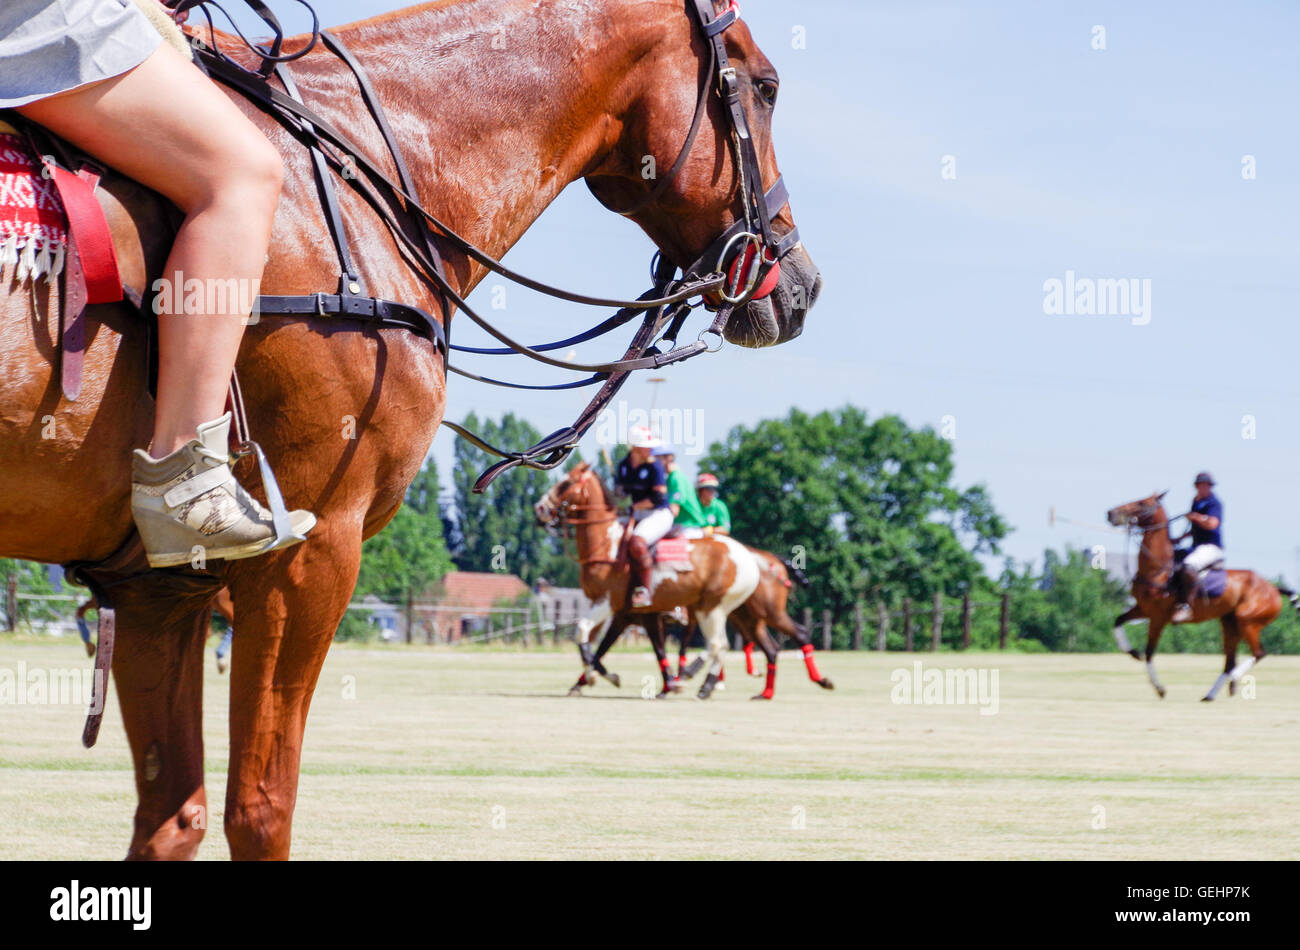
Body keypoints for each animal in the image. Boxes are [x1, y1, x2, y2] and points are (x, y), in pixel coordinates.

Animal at [530, 465, 759, 701]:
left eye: (566, 483)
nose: (539, 509)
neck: (607, 547)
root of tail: (749, 558)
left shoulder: (610, 602)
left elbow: (584, 632)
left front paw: (596, 677)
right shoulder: (621, 614)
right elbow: (600, 646)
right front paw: (596, 678)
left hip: (711, 608)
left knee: (716, 644)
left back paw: (689, 677)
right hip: (714, 610)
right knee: (721, 645)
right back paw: (705, 686)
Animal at [1102, 493, 1294, 701]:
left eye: (1142, 503)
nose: (1110, 513)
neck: (1158, 569)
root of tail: (1274, 588)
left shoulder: (1158, 617)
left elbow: (1150, 652)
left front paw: (1159, 688)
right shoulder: (1143, 609)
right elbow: (1118, 620)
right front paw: (1132, 652)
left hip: (1247, 621)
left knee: (1258, 653)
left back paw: (1232, 680)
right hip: (1230, 623)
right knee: (1230, 660)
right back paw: (1210, 695)